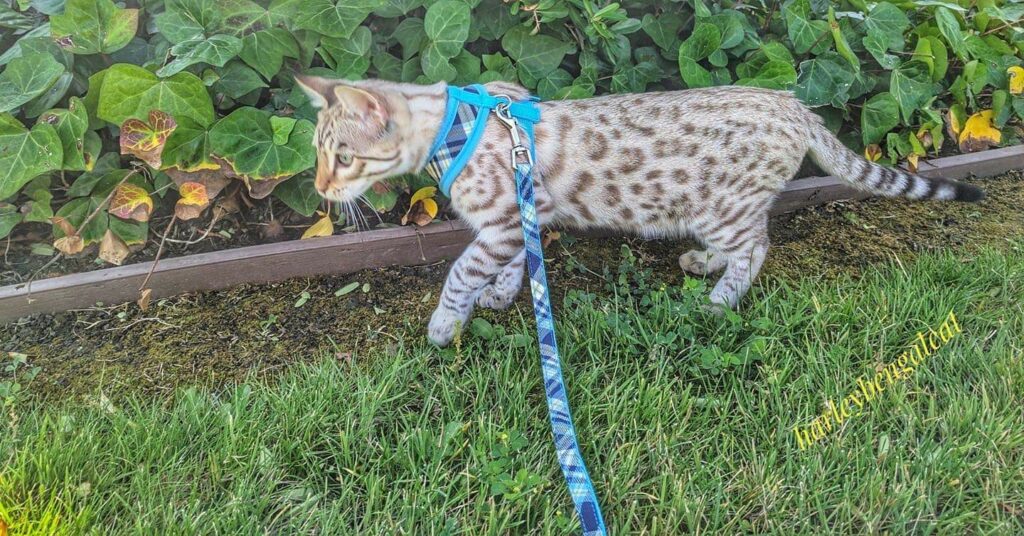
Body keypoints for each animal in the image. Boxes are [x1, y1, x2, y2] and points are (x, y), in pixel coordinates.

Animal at [296, 78, 983, 348]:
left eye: (344, 158)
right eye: (317, 153)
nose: (321, 187)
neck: (452, 127)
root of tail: (795, 104)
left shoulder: (500, 222)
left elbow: (460, 274)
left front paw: (445, 325)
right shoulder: (516, 222)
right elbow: (512, 268)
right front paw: (500, 295)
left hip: (721, 206)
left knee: (757, 247)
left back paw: (718, 298)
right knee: (749, 242)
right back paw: (704, 264)